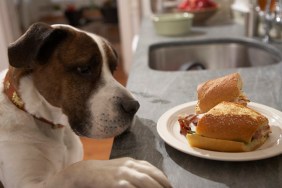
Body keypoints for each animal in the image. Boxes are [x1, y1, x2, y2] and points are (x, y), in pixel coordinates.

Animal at [0, 22, 172, 187]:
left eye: (113, 69)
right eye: (84, 69)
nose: (134, 106)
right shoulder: (27, 182)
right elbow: (75, 169)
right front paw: (122, 169)